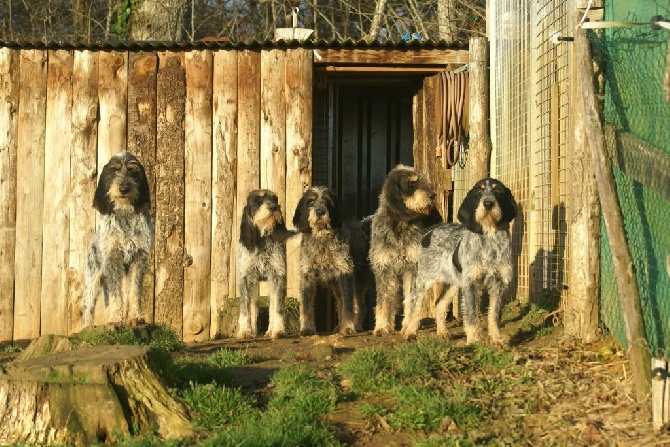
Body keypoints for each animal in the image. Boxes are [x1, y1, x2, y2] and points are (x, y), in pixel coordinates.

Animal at [82, 152, 154, 328]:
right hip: (92, 280)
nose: (123, 189)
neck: (125, 213)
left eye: (133, 170)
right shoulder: (112, 259)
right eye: (114, 170)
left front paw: (135, 317)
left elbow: (135, 291)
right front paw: (115, 318)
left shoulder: (138, 259)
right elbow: (116, 295)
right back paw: (87, 327)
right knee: (88, 307)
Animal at [239, 189, 296, 340]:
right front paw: (244, 331)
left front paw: (279, 330)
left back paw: (271, 330)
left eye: (274, 199)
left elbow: (278, 307)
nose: (274, 207)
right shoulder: (246, 278)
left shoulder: (278, 276)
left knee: (272, 302)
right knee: (253, 304)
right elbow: (245, 308)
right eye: (258, 200)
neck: (262, 240)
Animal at [294, 186, 372, 336]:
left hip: (358, 280)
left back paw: (355, 325)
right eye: (311, 202)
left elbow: (348, 305)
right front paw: (307, 328)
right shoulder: (307, 275)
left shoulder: (345, 273)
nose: (320, 212)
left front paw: (348, 327)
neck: (322, 239)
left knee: (359, 304)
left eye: (327, 201)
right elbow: (306, 306)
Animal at [370, 166, 444, 338]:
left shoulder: (412, 269)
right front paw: (382, 326)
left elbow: (412, 301)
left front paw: (408, 326)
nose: (433, 195)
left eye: (424, 180)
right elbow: (384, 300)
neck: (400, 224)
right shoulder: (384, 269)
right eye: (412, 183)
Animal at [404, 177, 520, 344]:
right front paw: (473, 341)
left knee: (440, 304)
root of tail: (431, 230)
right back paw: (410, 332)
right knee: (416, 306)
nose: (488, 203)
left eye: (497, 190)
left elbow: (493, 315)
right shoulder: (471, 283)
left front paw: (496, 339)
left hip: (454, 282)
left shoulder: (499, 284)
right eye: (479, 191)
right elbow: (471, 315)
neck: (490, 238)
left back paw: (442, 332)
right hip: (424, 281)